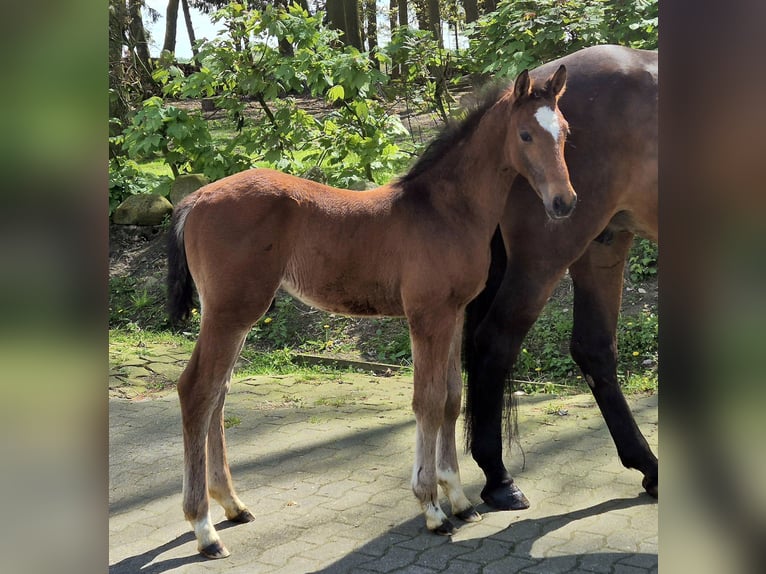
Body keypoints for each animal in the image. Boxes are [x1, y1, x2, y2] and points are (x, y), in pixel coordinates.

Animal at [168, 66, 576, 560]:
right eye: (525, 134)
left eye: (565, 132)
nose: (564, 202)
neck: (446, 210)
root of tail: (195, 199)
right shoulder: (426, 317)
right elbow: (427, 402)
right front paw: (432, 508)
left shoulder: (454, 314)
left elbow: (451, 399)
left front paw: (459, 500)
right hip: (231, 310)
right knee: (197, 391)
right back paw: (204, 529)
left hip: (232, 312)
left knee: (218, 394)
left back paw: (232, 505)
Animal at [462, 46, 660, 512]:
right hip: (546, 257)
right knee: (495, 340)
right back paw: (498, 477)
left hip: (603, 244)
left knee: (594, 349)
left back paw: (648, 466)